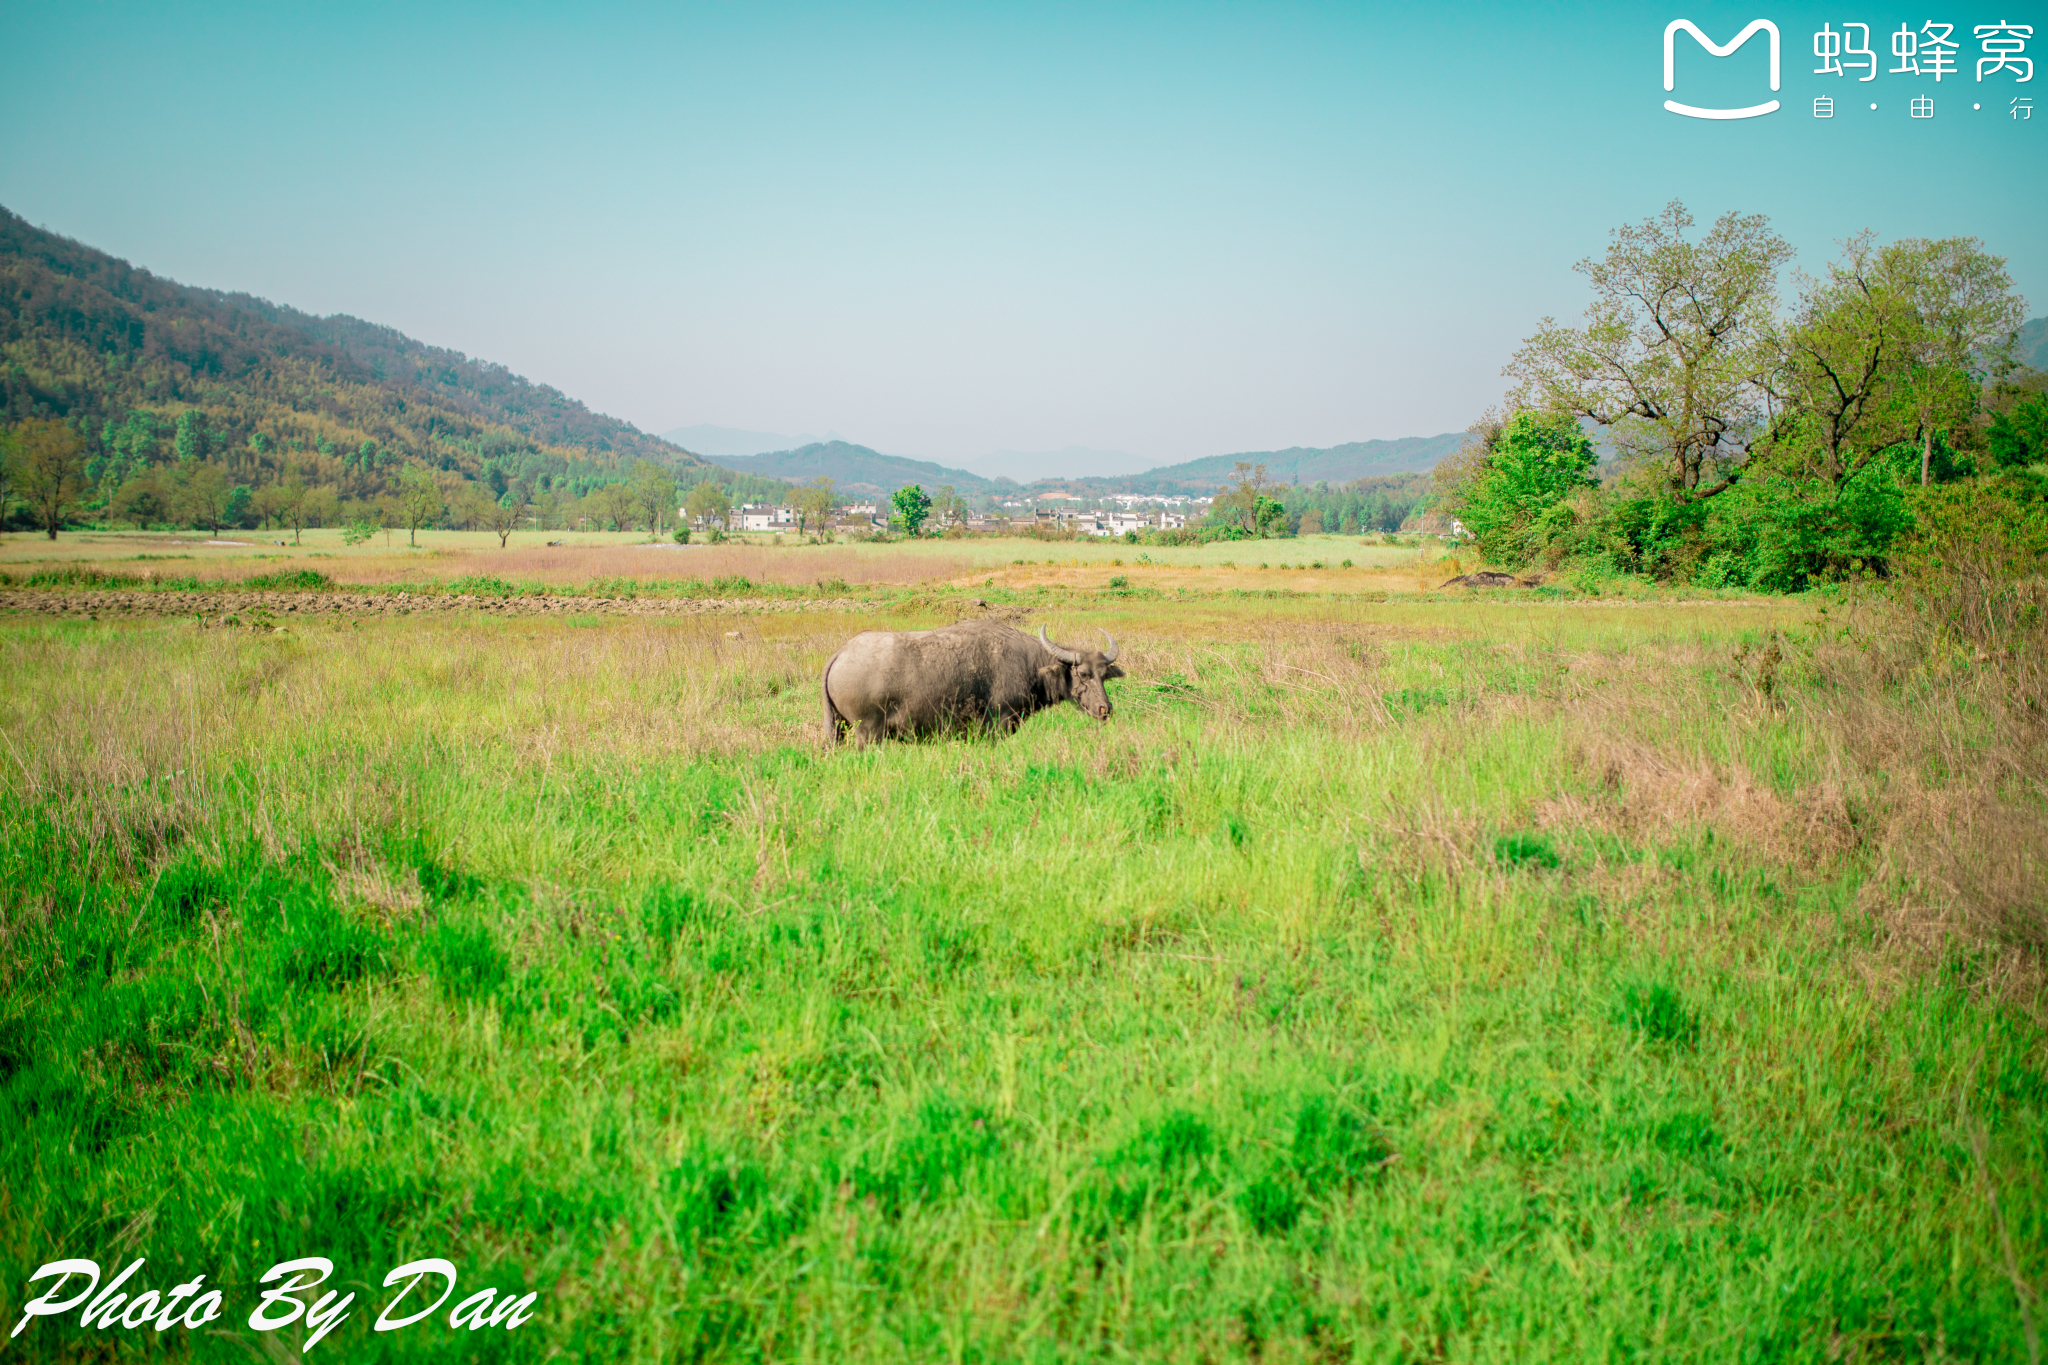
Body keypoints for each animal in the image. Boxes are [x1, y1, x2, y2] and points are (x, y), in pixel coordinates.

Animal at [823, 622, 1130, 749]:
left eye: (1104, 675)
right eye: (1083, 674)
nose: (1105, 709)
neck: (1029, 664)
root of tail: (841, 653)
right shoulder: (998, 725)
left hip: (839, 729)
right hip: (867, 732)